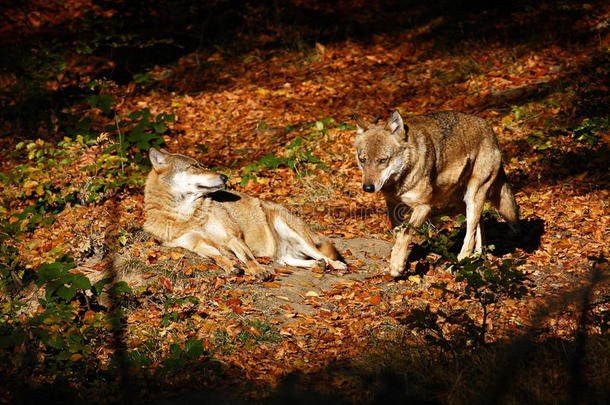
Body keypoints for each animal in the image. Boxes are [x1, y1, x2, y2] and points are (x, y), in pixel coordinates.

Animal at [141, 147, 342, 280]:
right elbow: (217, 257)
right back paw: (317, 265)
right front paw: (231, 267)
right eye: (194, 167)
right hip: (282, 253)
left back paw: (337, 265)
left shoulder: (232, 237)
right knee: (287, 261)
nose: (224, 177)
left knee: (321, 254)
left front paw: (258, 271)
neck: (187, 215)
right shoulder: (196, 245)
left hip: (290, 230)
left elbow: (246, 257)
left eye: (202, 165)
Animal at [352, 109, 516, 276]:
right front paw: (398, 260)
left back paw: (458, 264)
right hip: (460, 201)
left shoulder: (424, 207)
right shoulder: (393, 205)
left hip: (473, 196)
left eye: (383, 160)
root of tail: (489, 128)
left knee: (470, 235)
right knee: (479, 224)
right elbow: (397, 232)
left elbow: (405, 233)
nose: (367, 188)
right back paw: (477, 256)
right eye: (362, 160)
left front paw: (397, 266)